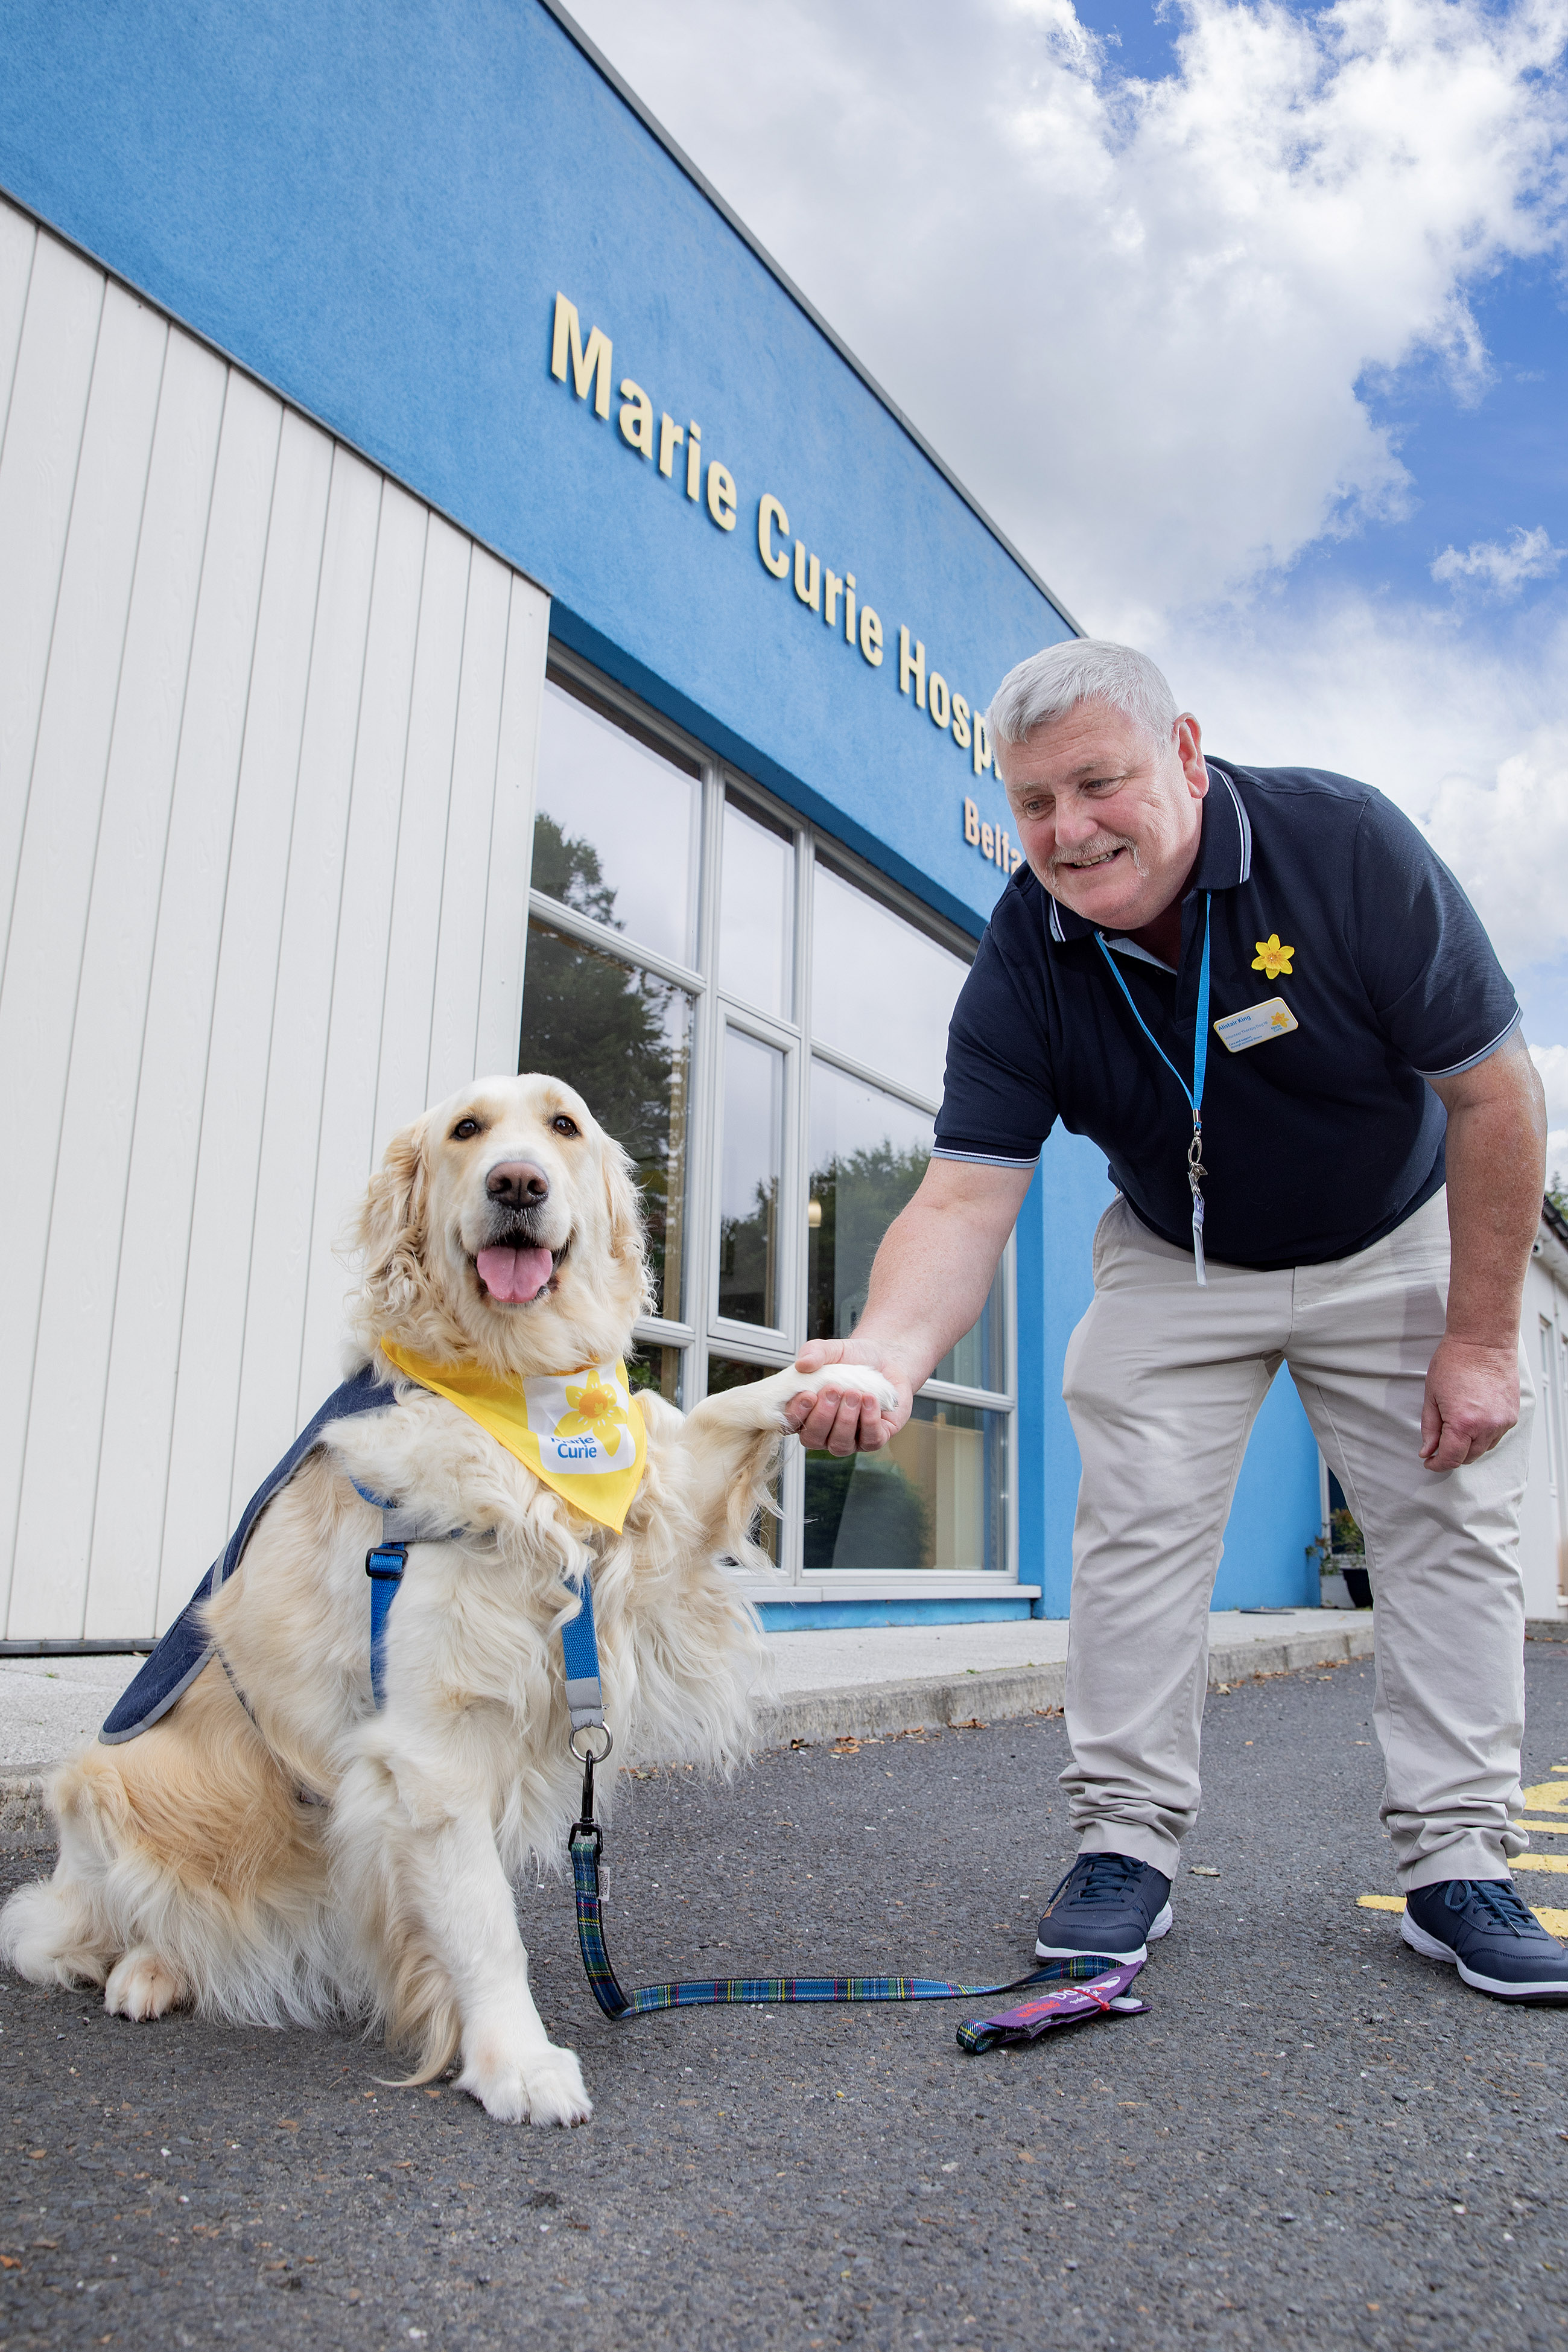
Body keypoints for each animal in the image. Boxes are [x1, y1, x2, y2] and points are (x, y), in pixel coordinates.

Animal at [0, 1077, 893, 2126]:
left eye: (562, 1127)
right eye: (466, 1130)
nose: (516, 1183)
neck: (520, 1396)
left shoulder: (650, 1539)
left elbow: (704, 1419)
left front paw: (841, 1374)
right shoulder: (430, 1745)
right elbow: (483, 1922)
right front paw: (518, 2060)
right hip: (106, 1790)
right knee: (81, 1928)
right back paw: (144, 1972)